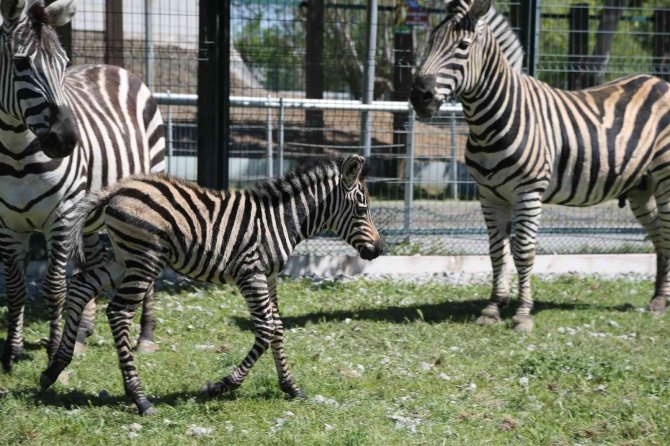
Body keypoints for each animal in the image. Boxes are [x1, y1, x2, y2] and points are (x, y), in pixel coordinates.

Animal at [0, 0, 164, 371]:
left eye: (64, 63)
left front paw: (52, 350)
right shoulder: (8, 225)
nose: (66, 140)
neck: (15, 152)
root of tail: (111, 66)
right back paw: (82, 332)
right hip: (90, 215)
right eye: (21, 63)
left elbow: (54, 286)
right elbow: (15, 290)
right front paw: (12, 353)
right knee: (92, 263)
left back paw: (145, 336)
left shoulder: (61, 216)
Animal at [40, 155, 384, 415]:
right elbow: (266, 329)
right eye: (362, 209)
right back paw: (140, 398)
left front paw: (290, 386)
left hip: (123, 257)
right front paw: (219, 386)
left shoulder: (269, 277)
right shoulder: (251, 272)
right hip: (143, 257)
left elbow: (278, 328)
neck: (282, 220)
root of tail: (117, 189)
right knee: (119, 312)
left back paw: (54, 369)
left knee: (81, 286)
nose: (379, 250)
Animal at [410, 0, 670, 331]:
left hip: (665, 178)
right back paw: (658, 298)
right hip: (641, 186)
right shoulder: (489, 194)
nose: (419, 96)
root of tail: (658, 80)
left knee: (667, 232)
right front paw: (493, 308)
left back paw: (662, 300)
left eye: (463, 46)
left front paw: (522, 313)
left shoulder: (528, 192)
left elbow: (523, 250)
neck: (490, 120)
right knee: (659, 234)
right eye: (430, 41)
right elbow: (496, 251)